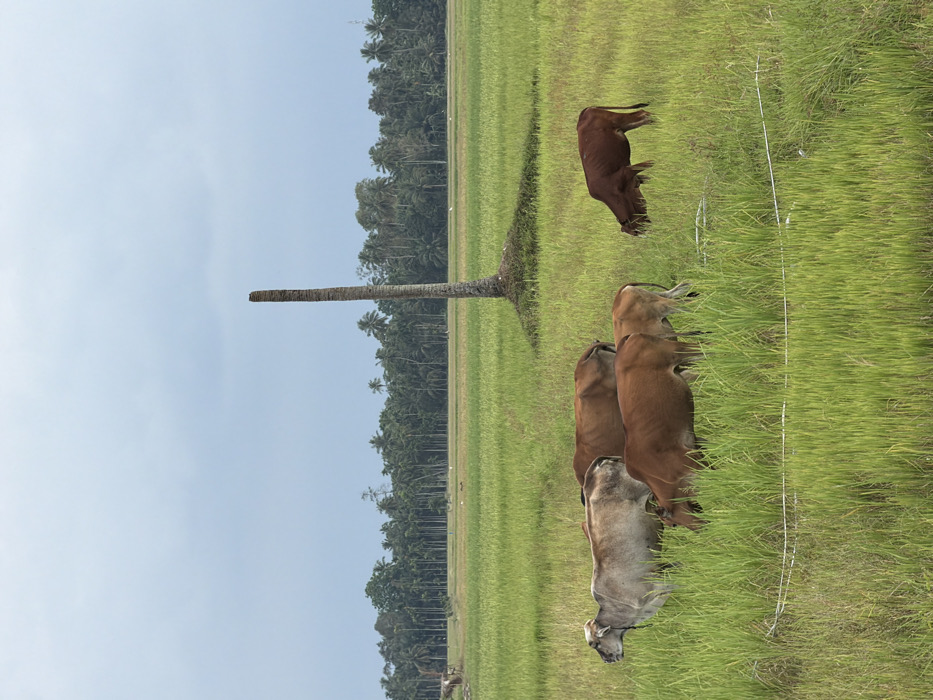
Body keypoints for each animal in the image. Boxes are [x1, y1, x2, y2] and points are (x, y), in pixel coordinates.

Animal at [577, 105, 653, 236]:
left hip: (619, 119)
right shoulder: (634, 180)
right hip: (624, 126)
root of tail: (585, 111)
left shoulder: (627, 171)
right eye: (636, 233)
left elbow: (649, 163)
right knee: (642, 117)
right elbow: (648, 178)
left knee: (642, 114)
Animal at [615, 333, 705, 529]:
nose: (701, 529)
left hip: (675, 352)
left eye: (673, 524)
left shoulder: (690, 460)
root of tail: (625, 341)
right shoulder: (696, 444)